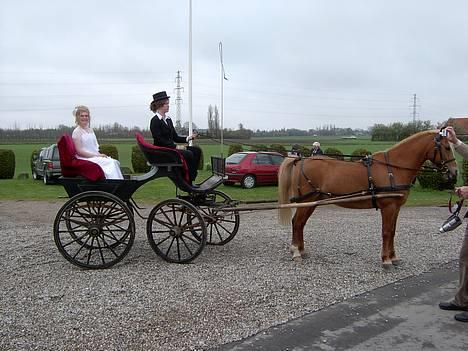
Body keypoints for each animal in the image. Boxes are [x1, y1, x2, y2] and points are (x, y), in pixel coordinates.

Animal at [278, 129, 458, 270]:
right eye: (446, 147)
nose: (454, 173)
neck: (393, 168)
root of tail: (300, 160)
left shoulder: (396, 208)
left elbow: (393, 232)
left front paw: (394, 257)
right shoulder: (388, 207)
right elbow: (386, 232)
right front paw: (386, 260)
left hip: (312, 202)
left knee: (300, 223)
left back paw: (301, 250)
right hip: (306, 201)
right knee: (297, 222)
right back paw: (296, 252)